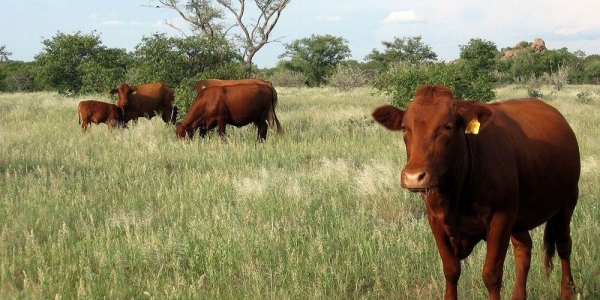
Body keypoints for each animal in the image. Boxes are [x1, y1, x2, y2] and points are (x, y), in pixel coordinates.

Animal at [372, 84, 580, 300]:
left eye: (447, 126)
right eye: (405, 127)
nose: (413, 176)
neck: (453, 196)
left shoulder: (500, 218)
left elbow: (491, 274)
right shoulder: (435, 220)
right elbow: (451, 271)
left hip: (568, 201)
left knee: (564, 243)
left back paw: (567, 292)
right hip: (519, 217)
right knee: (524, 249)